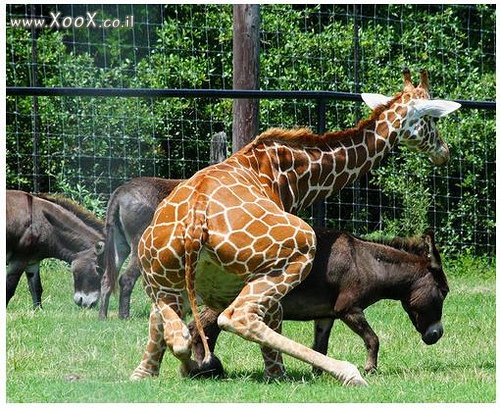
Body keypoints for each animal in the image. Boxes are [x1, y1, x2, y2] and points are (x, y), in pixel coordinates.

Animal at [130, 69, 460, 386]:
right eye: (431, 119)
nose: (444, 151)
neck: (296, 175)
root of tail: (196, 221)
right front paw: (277, 373)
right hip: (297, 250)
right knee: (237, 317)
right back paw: (340, 372)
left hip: (162, 277)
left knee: (174, 332)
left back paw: (167, 370)